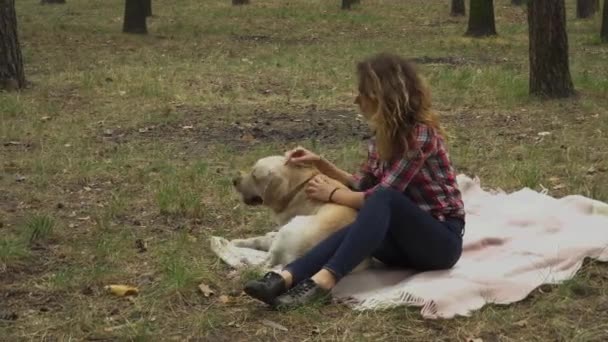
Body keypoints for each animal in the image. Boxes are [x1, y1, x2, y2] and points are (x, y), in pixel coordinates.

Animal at [232, 156, 370, 272]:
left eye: (254, 175)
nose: (234, 180)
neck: (298, 187)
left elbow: (260, 240)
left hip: (291, 228)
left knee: (265, 261)